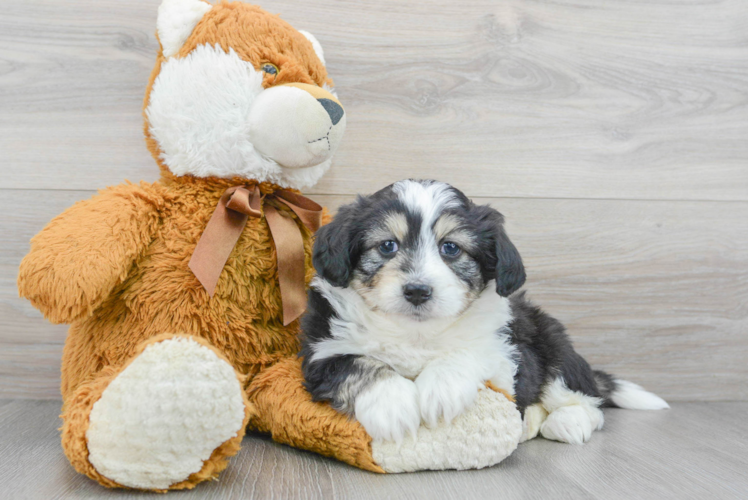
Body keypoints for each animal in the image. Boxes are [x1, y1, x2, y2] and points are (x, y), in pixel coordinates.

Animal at [298, 181, 668, 446]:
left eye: (451, 248)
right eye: (387, 245)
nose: (417, 291)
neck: (417, 333)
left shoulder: (506, 359)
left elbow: (469, 352)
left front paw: (441, 391)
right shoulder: (322, 351)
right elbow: (360, 364)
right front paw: (393, 407)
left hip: (555, 348)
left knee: (587, 402)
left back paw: (566, 423)